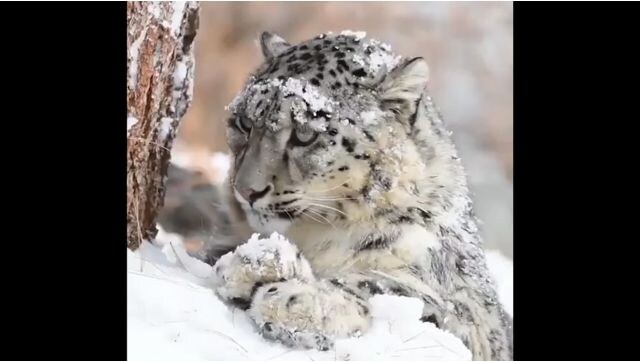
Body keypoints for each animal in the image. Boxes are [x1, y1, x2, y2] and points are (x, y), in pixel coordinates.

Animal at [205, 32, 516, 360]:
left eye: (305, 135)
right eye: (244, 123)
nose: (246, 190)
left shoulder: (475, 318)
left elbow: (403, 294)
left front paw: (295, 298)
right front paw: (259, 260)